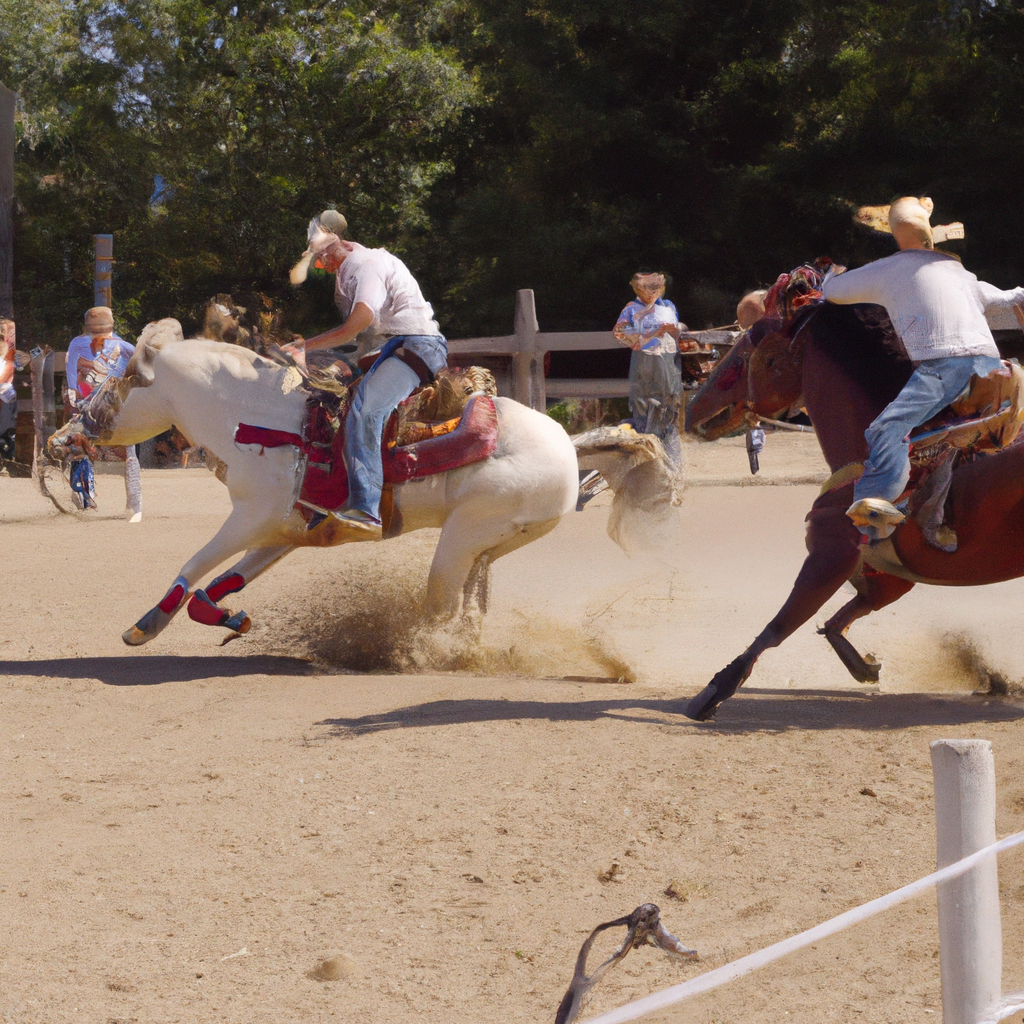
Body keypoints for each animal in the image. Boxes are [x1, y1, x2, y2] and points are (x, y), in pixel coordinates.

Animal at [48, 317, 679, 647]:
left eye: (117, 382)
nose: (60, 436)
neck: (258, 418)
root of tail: (568, 449)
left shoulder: (250, 516)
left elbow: (194, 564)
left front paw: (145, 626)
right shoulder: (285, 530)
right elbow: (225, 581)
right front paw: (223, 617)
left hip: (462, 538)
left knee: (441, 604)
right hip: (489, 545)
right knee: (471, 603)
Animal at [684, 264, 1024, 724]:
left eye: (745, 351)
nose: (693, 409)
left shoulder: (829, 557)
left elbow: (777, 628)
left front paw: (712, 692)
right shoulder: (888, 577)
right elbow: (840, 619)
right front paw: (865, 666)